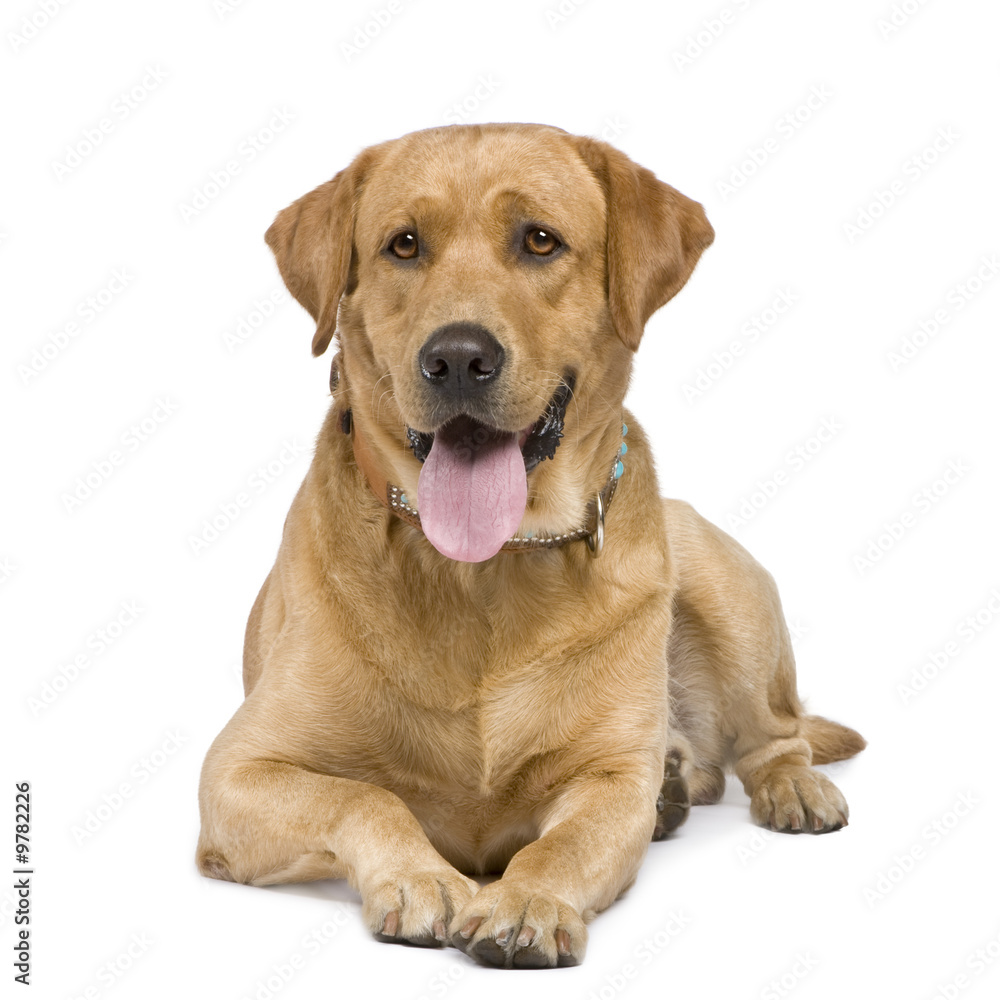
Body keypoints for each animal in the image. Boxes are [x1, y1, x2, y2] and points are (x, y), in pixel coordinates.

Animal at [197, 123, 868, 968]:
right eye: (403, 245)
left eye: (540, 240)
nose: (456, 357)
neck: (485, 571)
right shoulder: (236, 771)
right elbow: (366, 794)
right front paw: (421, 877)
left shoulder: (612, 781)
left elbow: (565, 844)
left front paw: (529, 901)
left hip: (726, 590)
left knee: (777, 735)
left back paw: (786, 786)